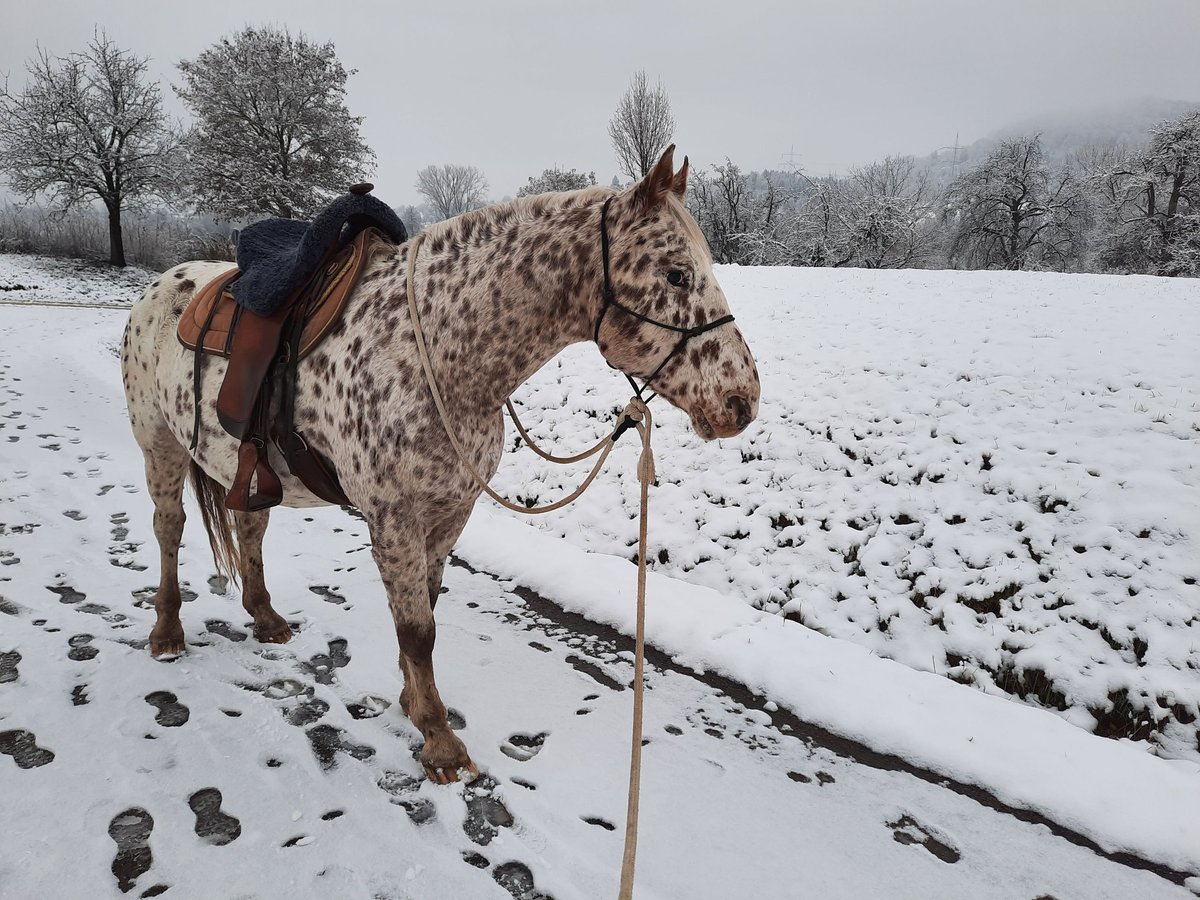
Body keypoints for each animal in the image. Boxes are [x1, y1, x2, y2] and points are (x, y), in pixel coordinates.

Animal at [119, 148, 758, 782]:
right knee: (169, 528)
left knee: (250, 526)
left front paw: (413, 703)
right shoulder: (393, 518)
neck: (442, 357)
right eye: (676, 273)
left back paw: (265, 617)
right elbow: (416, 629)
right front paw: (438, 740)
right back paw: (167, 631)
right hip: (160, 446)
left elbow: (425, 609)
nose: (742, 401)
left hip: (244, 468)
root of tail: (161, 286)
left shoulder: (451, 510)